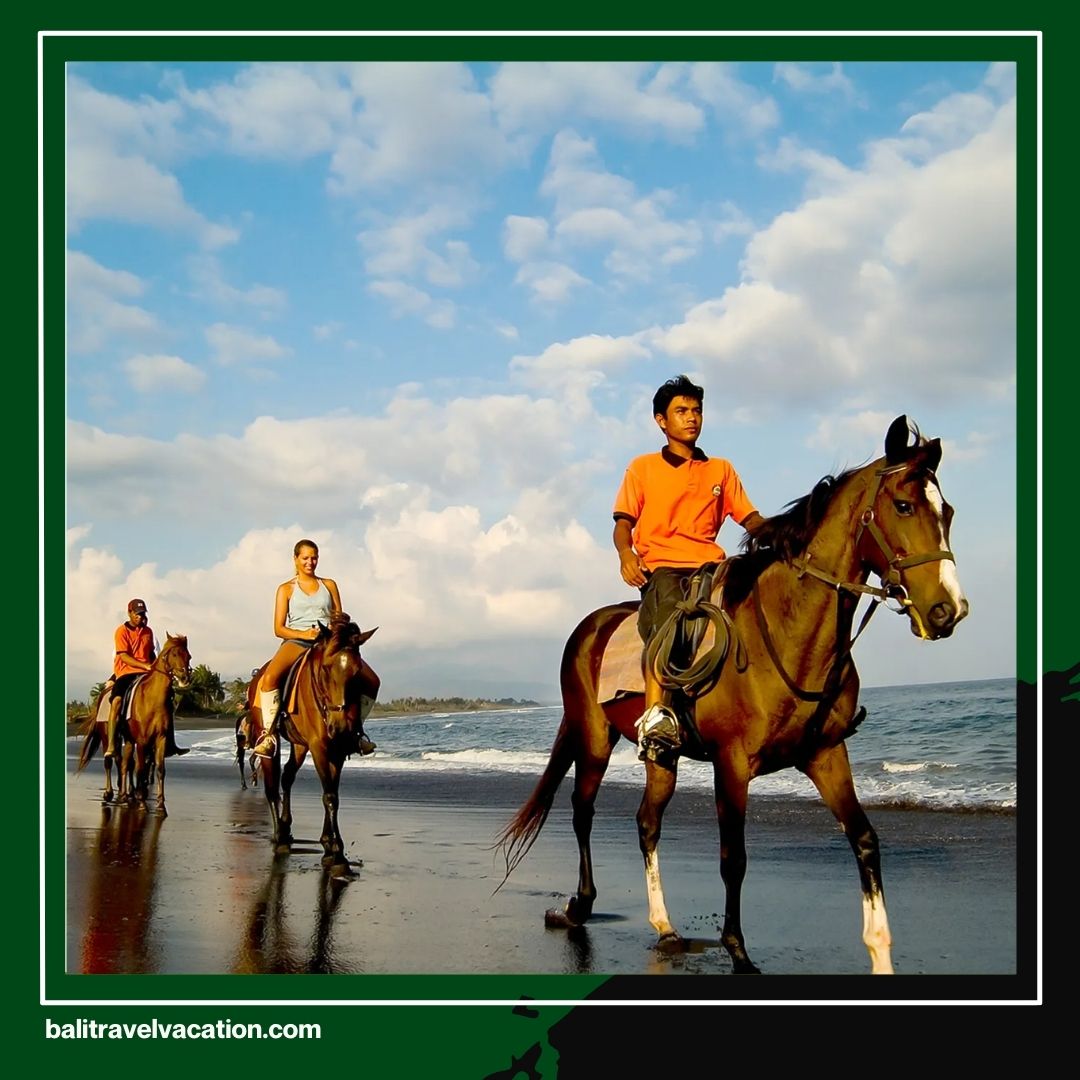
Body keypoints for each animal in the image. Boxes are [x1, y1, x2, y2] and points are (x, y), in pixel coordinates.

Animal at [245, 613, 380, 869]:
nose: (340, 726)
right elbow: (329, 796)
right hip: (267, 735)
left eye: (358, 673)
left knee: (287, 776)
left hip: (299, 744)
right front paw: (336, 851)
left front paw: (329, 842)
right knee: (271, 786)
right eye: (326, 669)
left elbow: (333, 794)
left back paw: (287, 826)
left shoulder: (338, 748)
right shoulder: (319, 746)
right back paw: (279, 835)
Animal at [496, 415, 968, 975]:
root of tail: (588, 628)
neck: (786, 633)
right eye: (903, 506)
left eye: (948, 512)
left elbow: (865, 840)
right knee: (582, 810)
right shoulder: (732, 763)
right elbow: (733, 859)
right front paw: (738, 950)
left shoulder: (826, 755)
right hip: (593, 739)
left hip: (661, 756)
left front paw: (880, 953)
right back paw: (579, 906)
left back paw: (664, 925)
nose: (948, 610)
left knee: (646, 822)